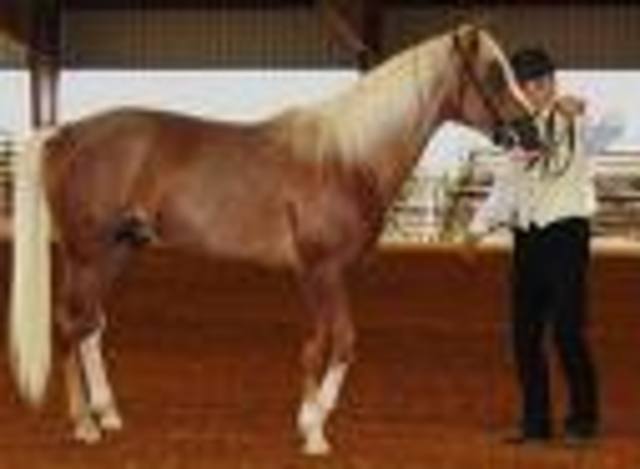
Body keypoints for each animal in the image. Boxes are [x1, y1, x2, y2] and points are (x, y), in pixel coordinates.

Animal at [9, 24, 536, 455]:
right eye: (493, 73)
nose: (532, 135)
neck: (347, 158)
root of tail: (63, 134)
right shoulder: (323, 270)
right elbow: (340, 343)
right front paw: (317, 432)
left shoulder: (319, 275)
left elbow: (318, 343)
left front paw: (306, 420)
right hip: (86, 253)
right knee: (70, 324)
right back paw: (84, 425)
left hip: (119, 250)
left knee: (90, 326)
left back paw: (108, 414)